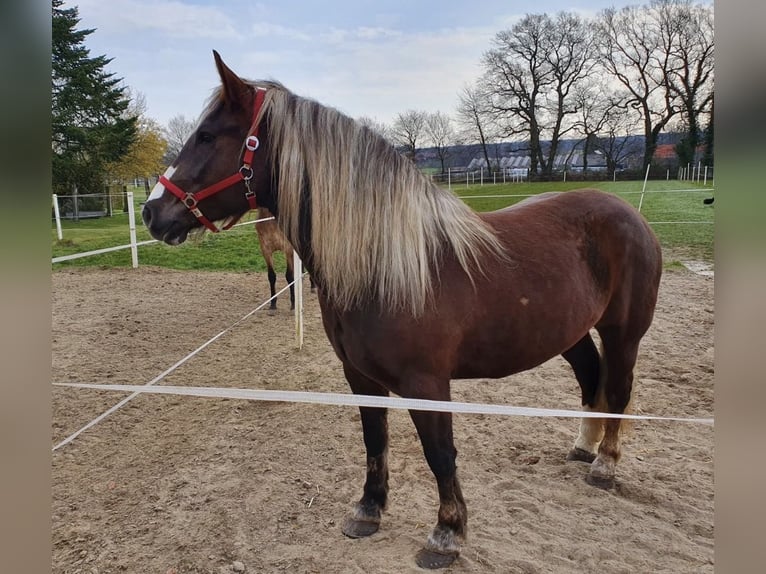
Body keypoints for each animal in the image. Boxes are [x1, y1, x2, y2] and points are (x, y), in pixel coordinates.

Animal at [142, 51, 663, 569]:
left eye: (208, 136)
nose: (151, 212)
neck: (385, 265)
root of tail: (629, 214)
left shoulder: (426, 384)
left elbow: (440, 453)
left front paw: (446, 534)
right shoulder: (359, 375)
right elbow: (375, 441)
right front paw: (368, 511)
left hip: (624, 333)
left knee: (617, 389)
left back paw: (604, 465)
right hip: (569, 333)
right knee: (591, 379)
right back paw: (582, 448)